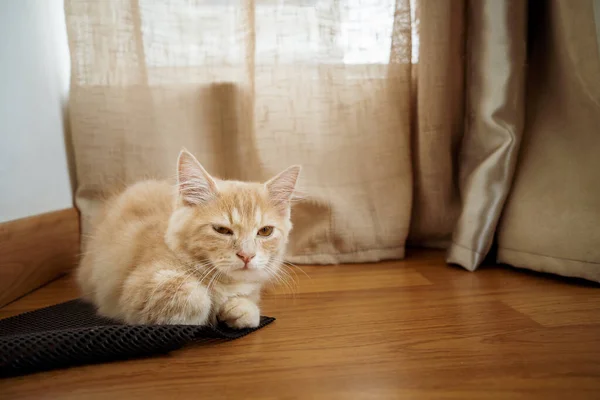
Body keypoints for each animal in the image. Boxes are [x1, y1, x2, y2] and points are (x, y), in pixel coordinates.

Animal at [76, 150, 300, 328]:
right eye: (222, 230)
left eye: (265, 231)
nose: (247, 255)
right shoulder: (135, 290)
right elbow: (197, 297)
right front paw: (210, 309)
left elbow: (248, 305)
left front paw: (241, 308)